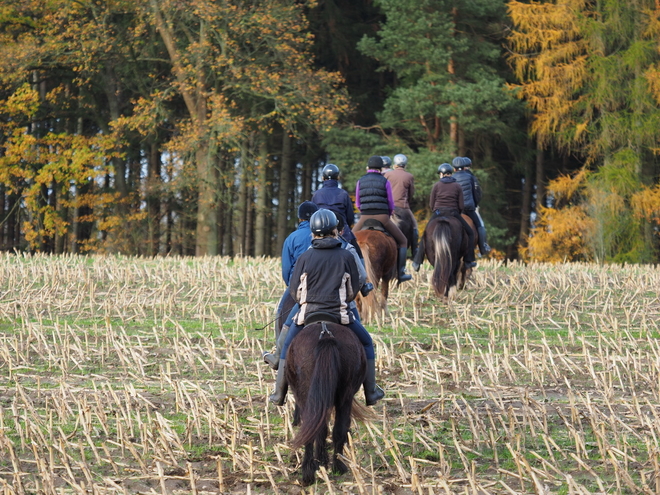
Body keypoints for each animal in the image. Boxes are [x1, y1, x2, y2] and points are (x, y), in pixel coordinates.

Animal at [284, 320, 368, 486]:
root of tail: (326, 335)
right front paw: (322, 461)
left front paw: (320, 461)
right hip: (344, 396)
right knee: (337, 430)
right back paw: (336, 466)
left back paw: (309, 472)